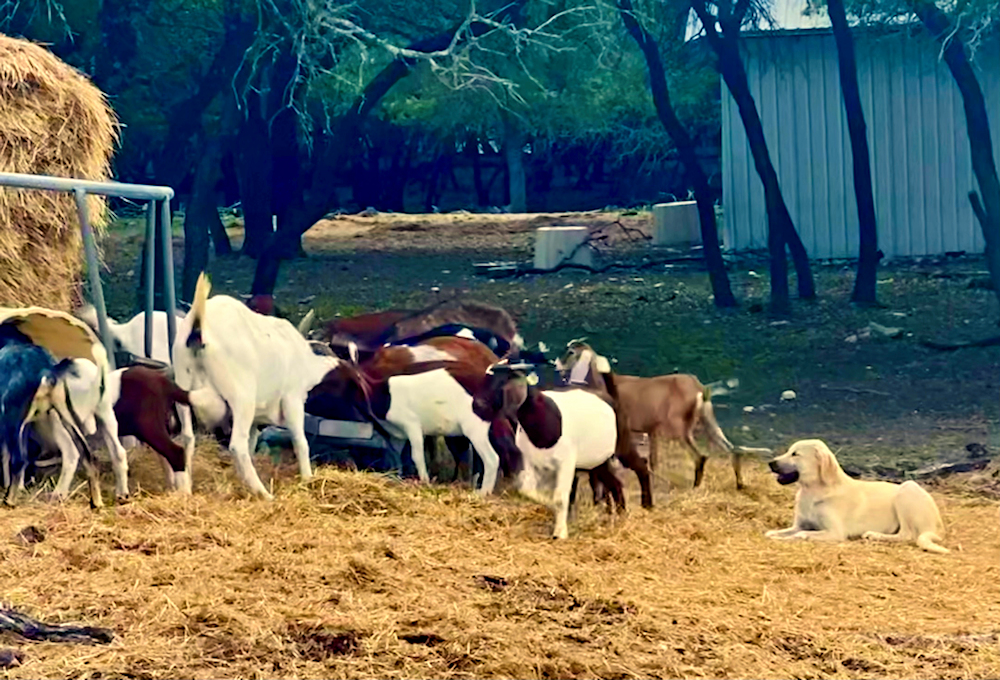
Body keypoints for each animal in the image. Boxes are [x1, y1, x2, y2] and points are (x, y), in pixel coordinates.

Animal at [171, 270, 340, 500]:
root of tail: (199, 326)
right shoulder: (293, 399)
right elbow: (301, 441)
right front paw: (308, 479)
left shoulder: (255, 421)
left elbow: (253, 443)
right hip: (241, 396)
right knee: (237, 445)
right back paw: (265, 494)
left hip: (183, 387)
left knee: (188, 438)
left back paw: (186, 490)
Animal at [764, 440, 944, 552]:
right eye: (788, 451)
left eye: (795, 454)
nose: (770, 463)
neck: (813, 492)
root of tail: (938, 525)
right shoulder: (799, 525)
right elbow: (776, 532)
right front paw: (775, 535)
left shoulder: (835, 532)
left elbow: (801, 535)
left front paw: (784, 539)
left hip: (907, 488)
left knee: (907, 534)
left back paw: (874, 535)